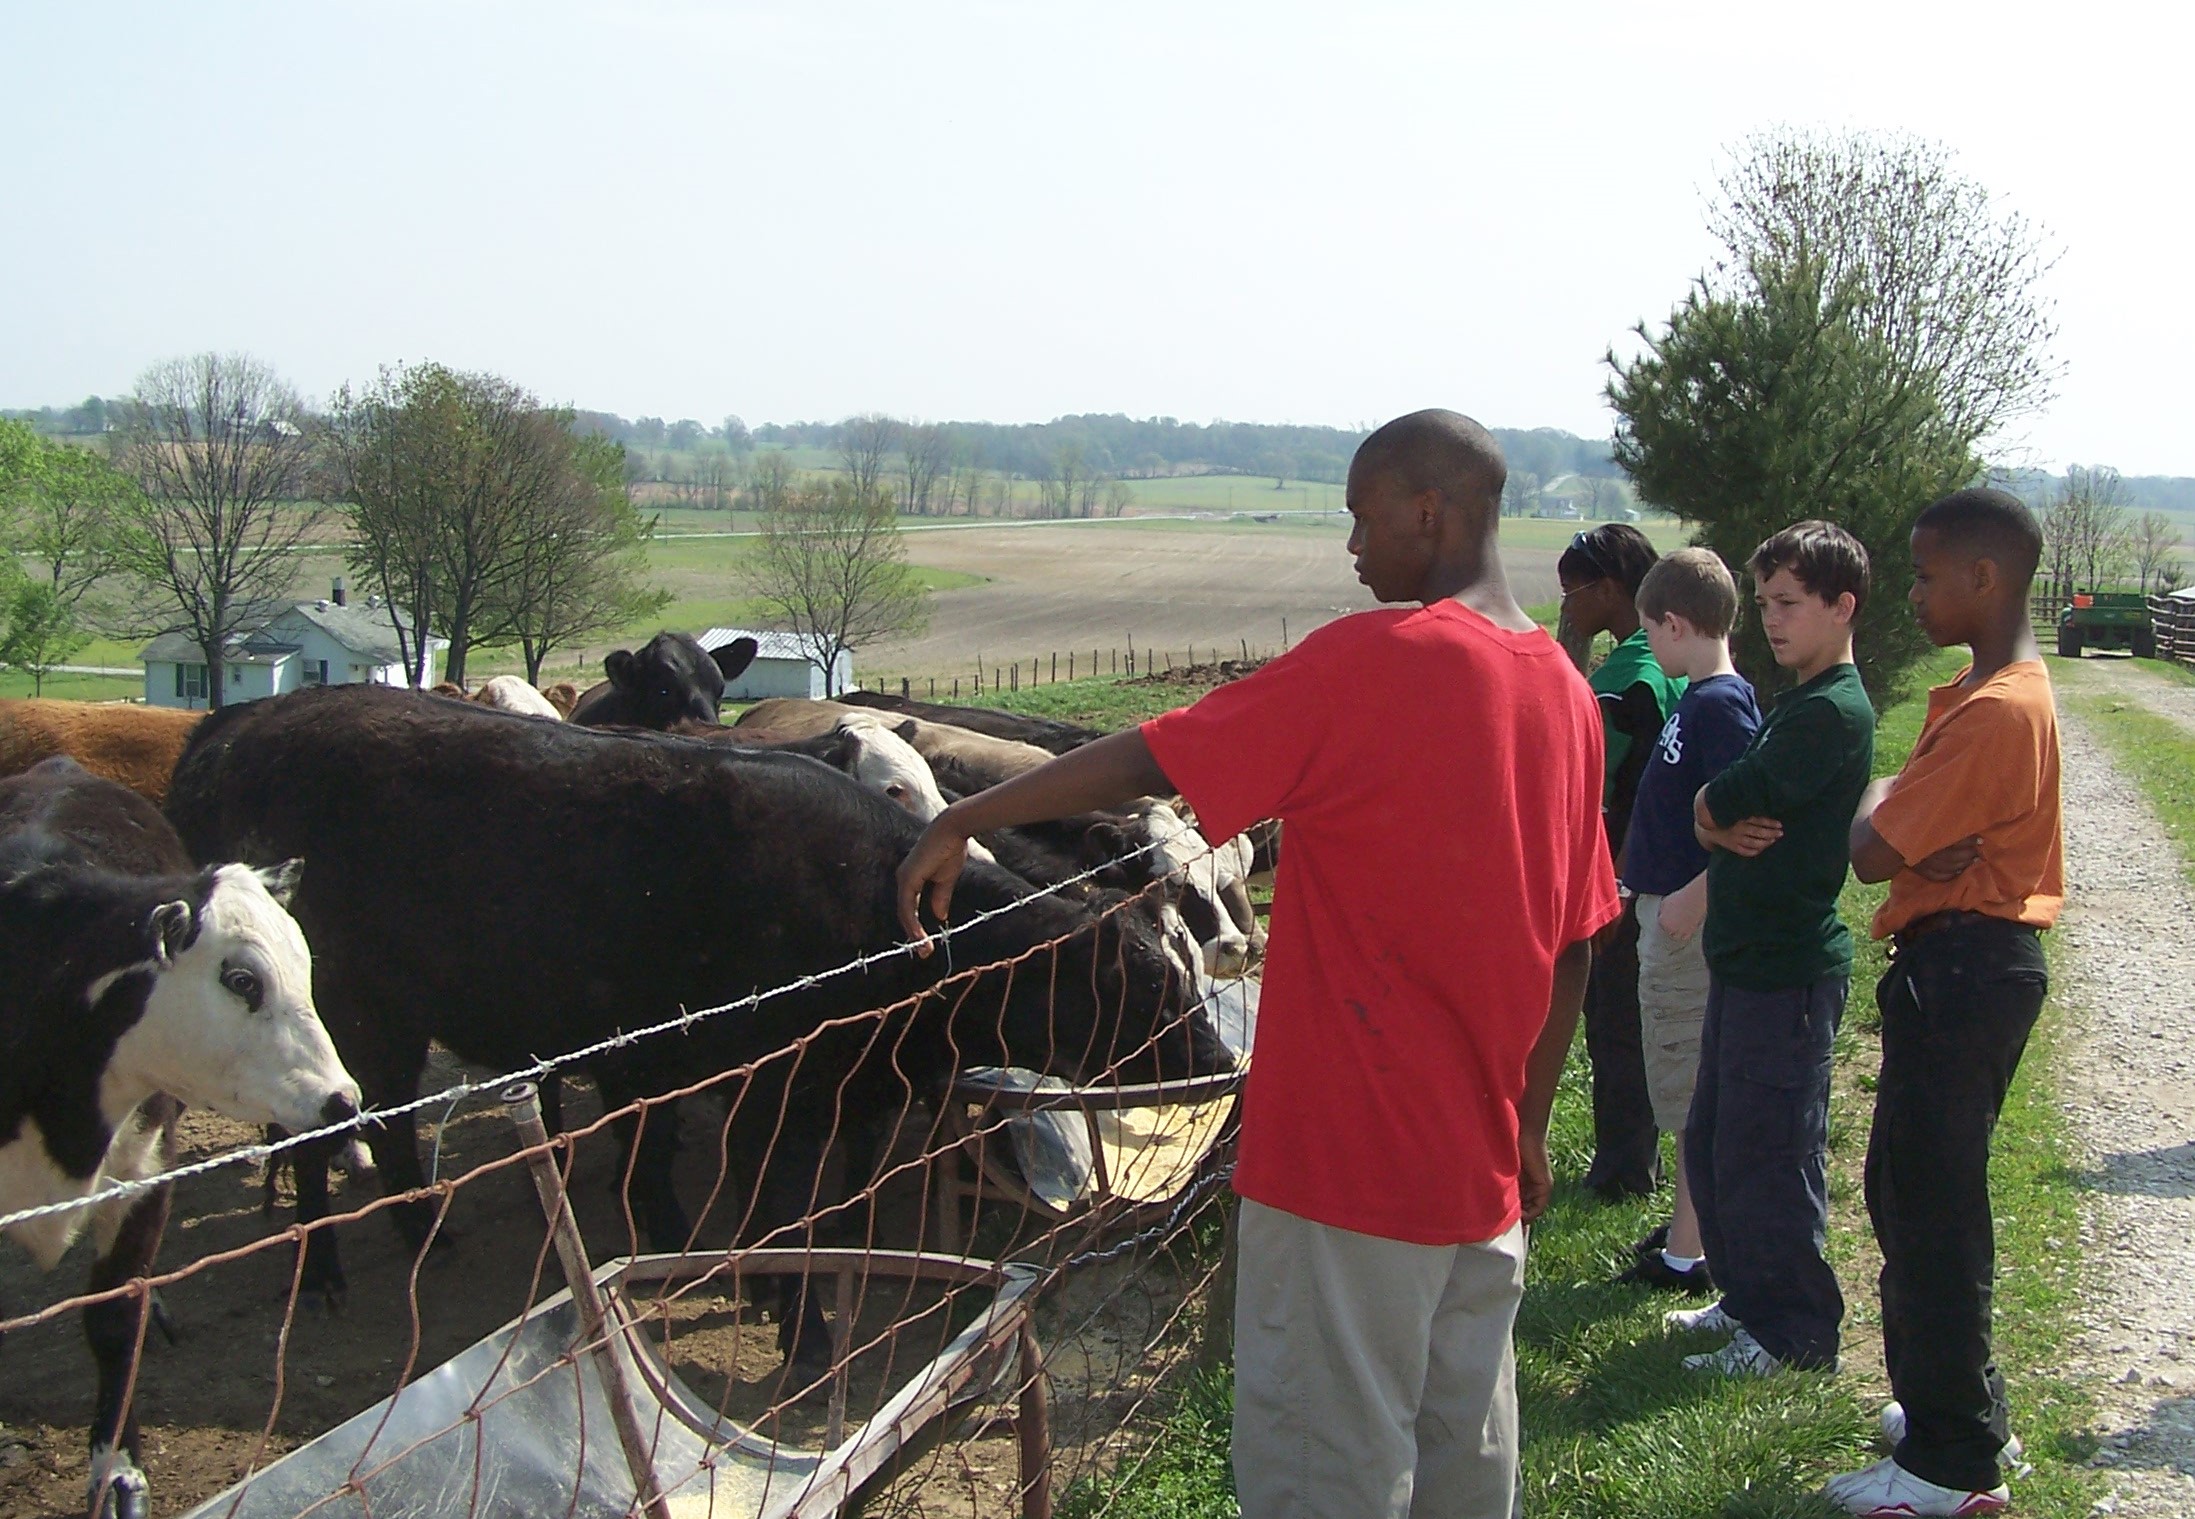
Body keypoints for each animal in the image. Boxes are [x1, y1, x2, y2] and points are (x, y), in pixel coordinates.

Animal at [3, 759, 355, 1519]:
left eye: (307, 968)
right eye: (242, 978)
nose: (341, 1100)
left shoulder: (144, 1172)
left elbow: (115, 1321)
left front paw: (120, 1475)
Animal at [166, 684, 1237, 1360]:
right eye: (1144, 984)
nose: (1221, 1054)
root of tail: (237, 724)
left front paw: (762, 1285)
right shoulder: (776, 1089)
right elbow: (782, 1213)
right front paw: (801, 1329)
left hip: (385, 1019)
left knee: (386, 1121)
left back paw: (424, 1229)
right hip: (329, 1013)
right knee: (322, 1133)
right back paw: (324, 1269)